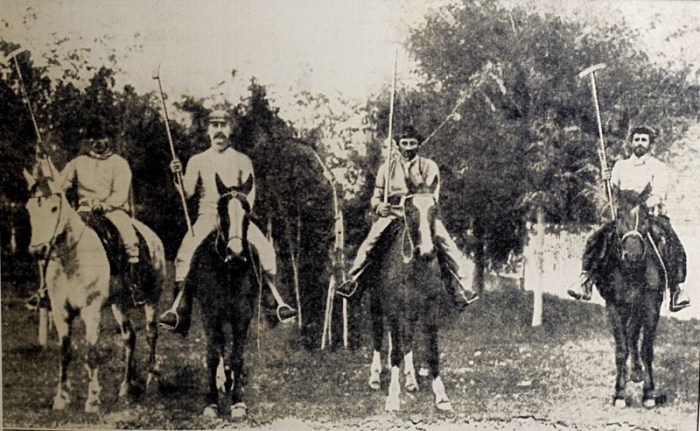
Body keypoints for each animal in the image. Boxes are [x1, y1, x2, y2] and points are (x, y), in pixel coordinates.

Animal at [23, 170, 167, 416]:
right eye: (30, 208)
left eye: (54, 207)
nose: (37, 250)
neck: (71, 262)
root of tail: (153, 237)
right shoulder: (61, 312)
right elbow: (65, 352)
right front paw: (61, 398)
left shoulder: (91, 311)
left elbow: (91, 353)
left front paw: (92, 400)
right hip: (119, 303)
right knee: (129, 337)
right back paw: (126, 387)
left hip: (152, 298)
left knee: (151, 334)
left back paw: (152, 381)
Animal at [186, 174, 260, 420]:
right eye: (222, 211)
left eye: (247, 214)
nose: (236, 253)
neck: (229, 271)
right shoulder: (210, 314)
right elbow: (211, 355)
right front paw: (211, 403)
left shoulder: (242, 315)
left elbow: (237, 356)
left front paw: (237, 403)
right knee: (217, 349)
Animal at [360, 194, 454, 414]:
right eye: (409, 211)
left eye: (434, 211)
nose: (426, 252)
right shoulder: (393, 309)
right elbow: (394, 352)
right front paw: (393, 397)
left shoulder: (431, 309)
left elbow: (432, 349)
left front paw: (441, 396)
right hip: (376, 303)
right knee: (378, 335)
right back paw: (375, 377)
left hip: (411, 311)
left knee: (408, 338)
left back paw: (411, 380)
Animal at [596, 186, 668, 408]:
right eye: (619, 214)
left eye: (645, 216)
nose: (633, 255)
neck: (631, 272)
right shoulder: (613, 306)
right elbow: (621, 349)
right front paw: (619, 393)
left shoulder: (651, 306)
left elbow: (646, 349)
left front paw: (649, 393)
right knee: (629, 338)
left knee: (633, 335)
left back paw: (636, 371)